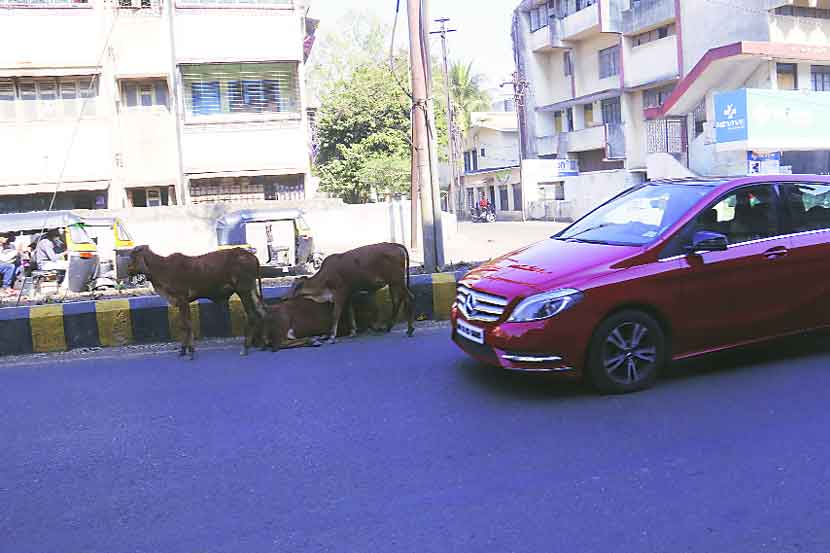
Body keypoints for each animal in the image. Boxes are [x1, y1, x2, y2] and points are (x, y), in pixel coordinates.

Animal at [128, 245, 264, 358]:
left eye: (132, 257)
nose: (128, 270)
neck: (161, 267)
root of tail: (251, 255)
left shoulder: (182, 299)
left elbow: (187, 325)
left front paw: (191, 351)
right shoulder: (181, 302)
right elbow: (184, 325)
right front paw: (183, 350)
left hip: (243, 291)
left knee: (252, 315)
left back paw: (245, 348)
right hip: (252, 291)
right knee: (261, 312)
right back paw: (262, 344)